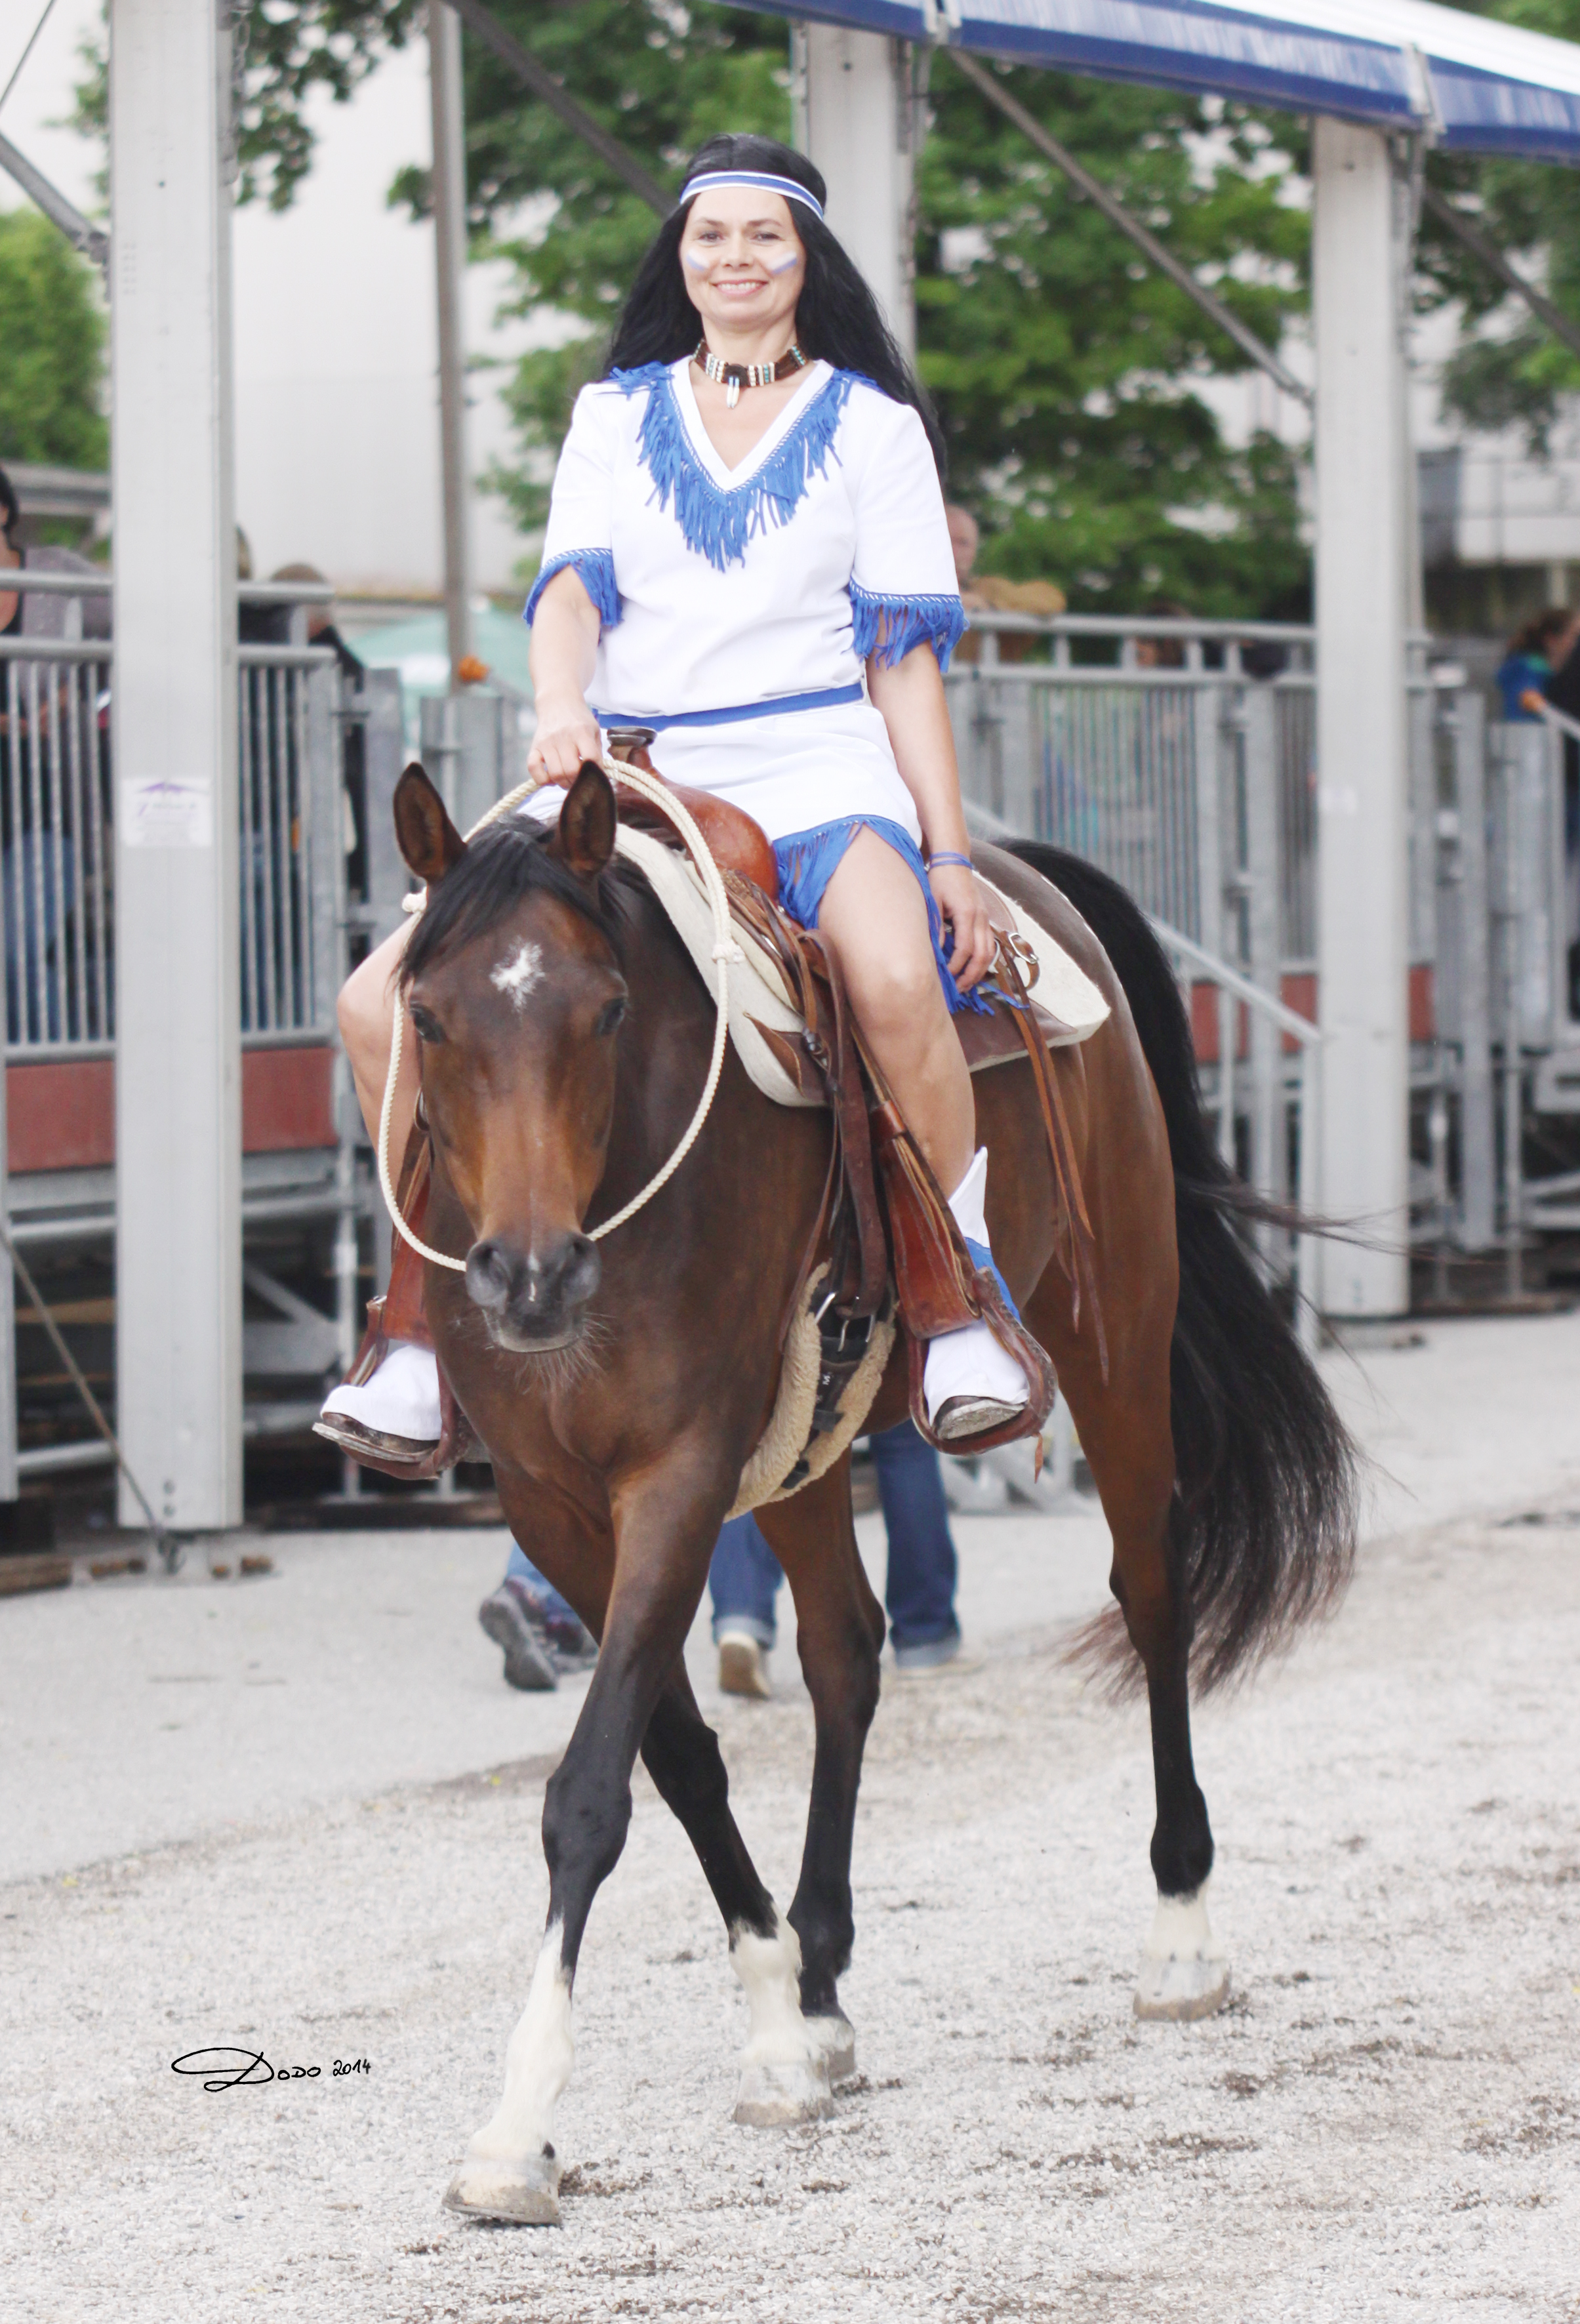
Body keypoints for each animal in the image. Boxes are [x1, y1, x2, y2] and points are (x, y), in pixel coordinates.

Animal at [388, 756, 1357, 2224]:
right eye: (427, 1016)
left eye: (602, 1008)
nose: (528, 1274)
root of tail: (1012, 870)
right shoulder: (555, 1509)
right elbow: (680, 1757)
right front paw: (778, 2020)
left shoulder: (677, 1475)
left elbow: (590, 1792)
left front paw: (518, 2126)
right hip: (806, 1445)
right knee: (846, 1650)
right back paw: (824, 1974)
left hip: (1114, 1339)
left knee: (1150, 1594)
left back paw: (1179, 1928)